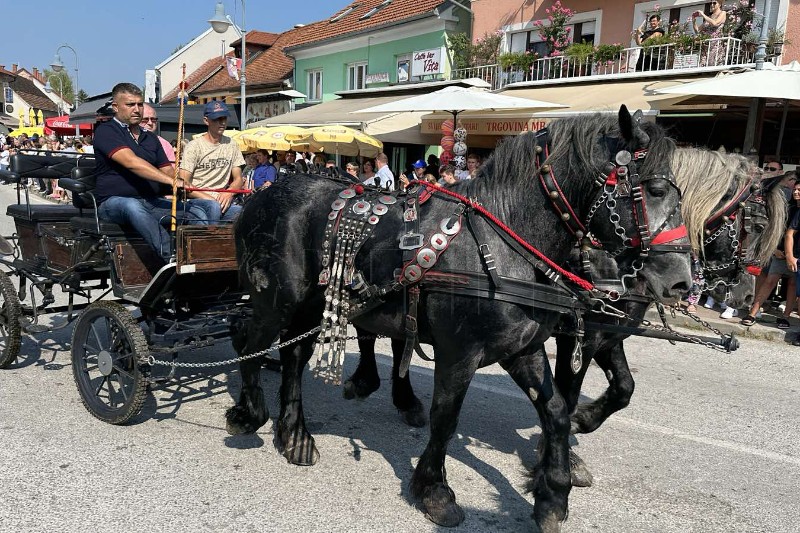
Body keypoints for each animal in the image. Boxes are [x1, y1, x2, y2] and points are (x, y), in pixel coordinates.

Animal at [228, 106, 692, 528]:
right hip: (276, 301)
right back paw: (250, 412)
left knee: (294, 357)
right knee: (252, 344)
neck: (503, 239)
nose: (681, 281)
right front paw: (434, 491)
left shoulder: (523, 348)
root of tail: (262, 195)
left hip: (309, 307)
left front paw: (553, 492)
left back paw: (295, 436)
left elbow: (558, 409)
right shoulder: (459, 353)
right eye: (653, 189)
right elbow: (446, 417)